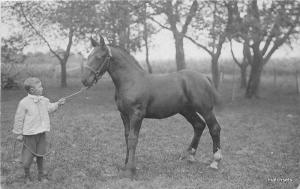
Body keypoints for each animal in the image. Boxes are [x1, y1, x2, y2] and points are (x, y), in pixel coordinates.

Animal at [82, 35, 223, 179]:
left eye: (99, 57)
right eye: (89, 56)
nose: (85, 80)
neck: (131, 81)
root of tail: (205, 77)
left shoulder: (136, 115)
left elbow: (132, 139)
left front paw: (130, 170)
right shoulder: (124, 115)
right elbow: (127, 137)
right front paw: (126, 165)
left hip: (206, 110)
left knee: (214, 128)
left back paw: (215, 162)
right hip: (187, 110)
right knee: (199, 125)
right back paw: (190, 156)